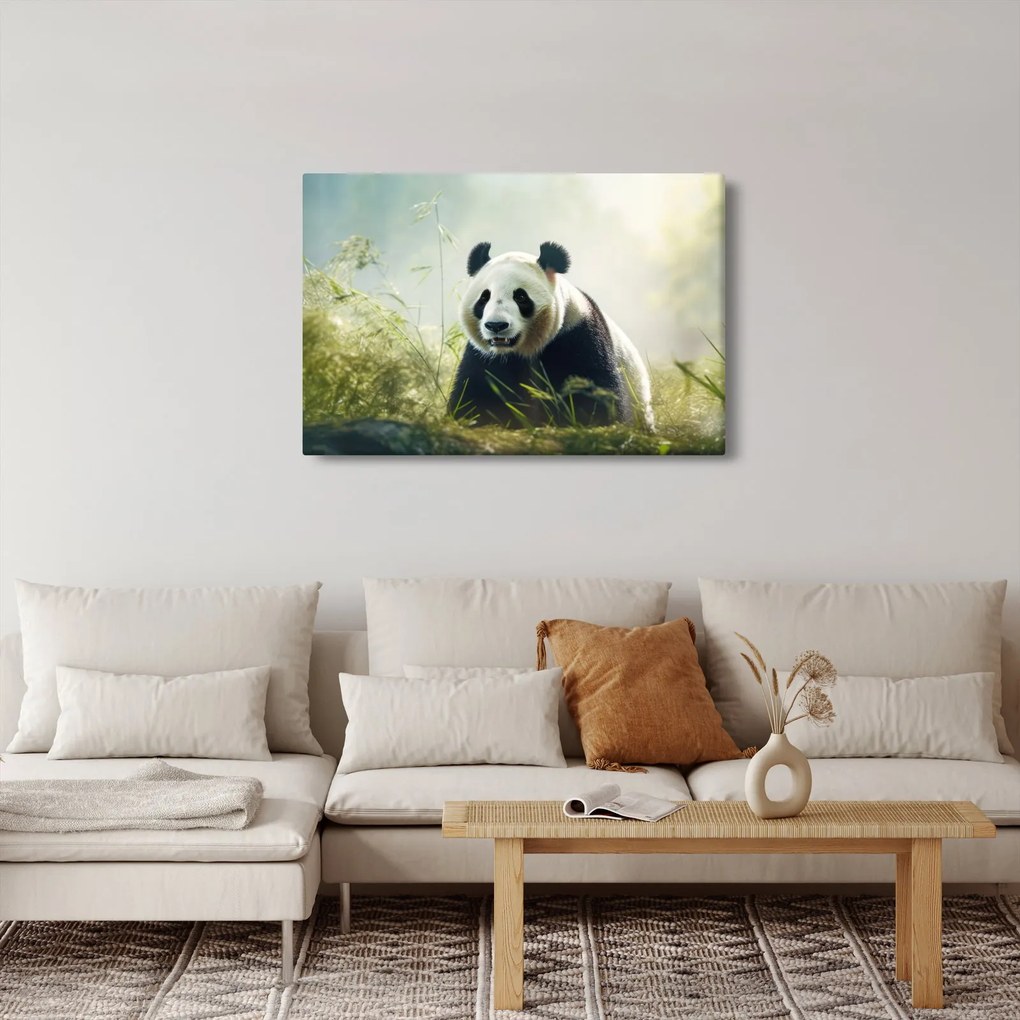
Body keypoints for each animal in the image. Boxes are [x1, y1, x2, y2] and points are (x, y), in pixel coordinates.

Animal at [448, 241, 654, 430]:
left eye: (520, 297)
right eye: (484, 298)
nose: (496, 325)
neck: (524, 349)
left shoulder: (577, 336)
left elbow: (592, 392)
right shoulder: (485, 357)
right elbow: (476, 393)